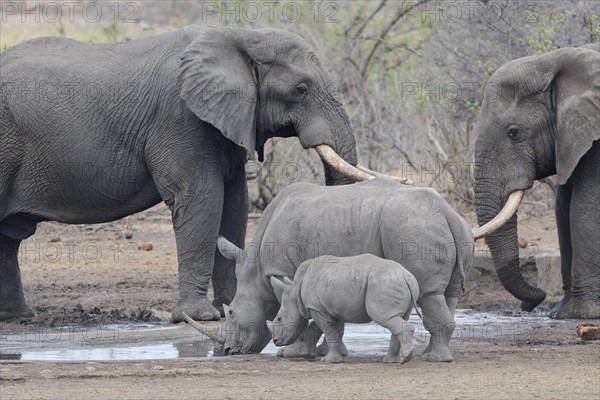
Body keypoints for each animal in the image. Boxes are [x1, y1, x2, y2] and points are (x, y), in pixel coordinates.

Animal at [0, 26, 394, 322]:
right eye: (300, 90)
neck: (243, 35)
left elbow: (234, 203)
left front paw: (232, 308)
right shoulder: (180, 117)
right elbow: (203, 198)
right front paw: (200, 316)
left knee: (9, 237)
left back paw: (20, 318)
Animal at [264, 255, 420, 364]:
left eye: (279, 319)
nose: (276, 341)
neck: (295, 291)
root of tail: (406, 277)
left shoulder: (317, 308)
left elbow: (329, 331)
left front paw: (329, 361)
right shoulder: (334, 309)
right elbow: (337, 332)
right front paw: (340, 356)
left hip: (384, 284)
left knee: (383, 317)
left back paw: (404, 358)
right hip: (397, 283)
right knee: (397, 318)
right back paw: (392, 361)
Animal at [474, 43, 600, 318]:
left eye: (514, 132)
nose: (530, 303)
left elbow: (583, 210)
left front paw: (580, 314)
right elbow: (562, 209)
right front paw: (559, 313)